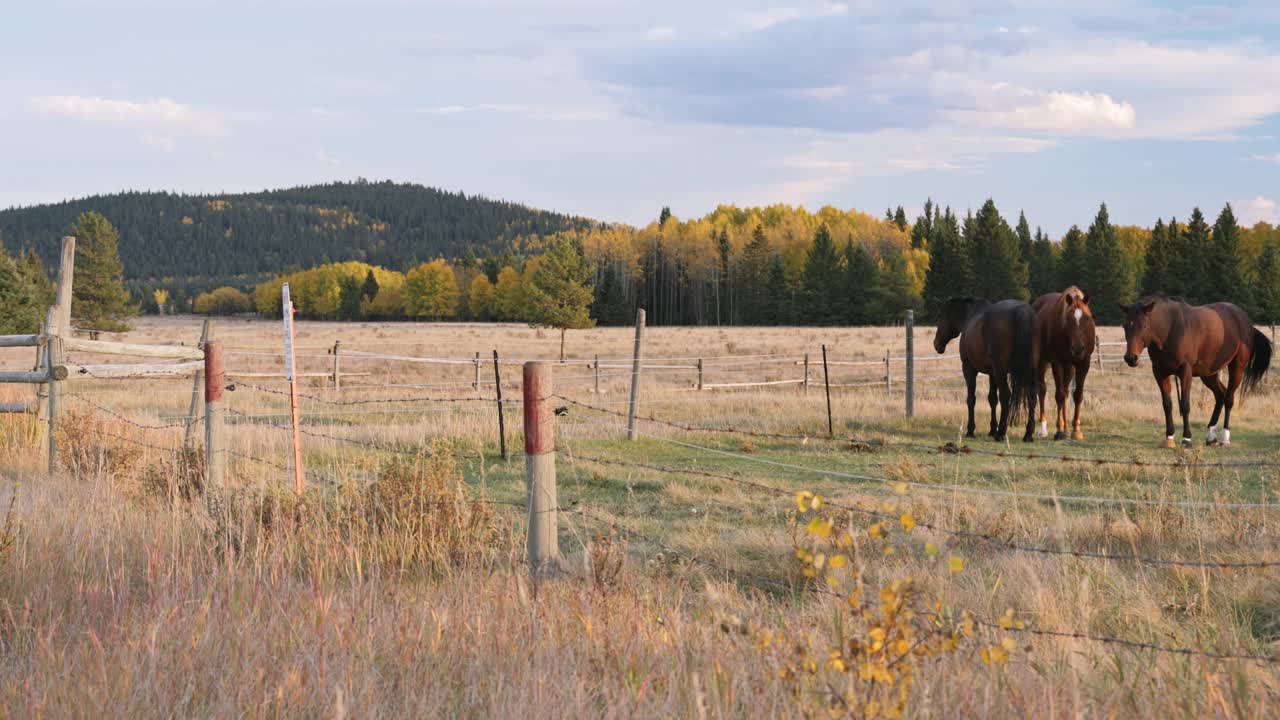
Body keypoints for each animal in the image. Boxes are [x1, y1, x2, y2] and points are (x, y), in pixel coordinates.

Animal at [936, 295, 1044, 440]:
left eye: (941, 315)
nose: (936, 344)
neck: (970, 317)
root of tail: (1022, 310)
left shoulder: (969, 369)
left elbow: (971, 399)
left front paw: (971, 430)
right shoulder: (992, 373)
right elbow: (992, 399)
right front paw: (992, 429)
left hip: (1001, 371)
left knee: (1005, 395)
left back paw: (1001, 433)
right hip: (1029, 369)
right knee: (1032, 395)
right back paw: (1028, 434)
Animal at [1024, 284, 1095, 438]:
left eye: (1087, 318)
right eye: (1068, 319)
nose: (1078, 348)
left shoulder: (1083, 363)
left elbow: (1077, 395)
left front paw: (1076, 430)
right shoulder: (1057, 362)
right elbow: (1059, 395)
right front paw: (1059, 430)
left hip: (1069, 367)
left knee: (1066, 391)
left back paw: (1066, 427)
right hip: (1041, 362)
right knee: (1042, 390)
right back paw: (1043, 428)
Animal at [1121, 294, 1269, 445]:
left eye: (1144, 326)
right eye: (1125, 326)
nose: (1130, 358)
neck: (1171, 329)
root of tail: (1248, 323)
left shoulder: (1185, 372)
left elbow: (1185, 405)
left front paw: (1187, 438)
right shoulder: (1160, 372)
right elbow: (1167, 404)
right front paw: (1170, 437)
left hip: (1236, 368)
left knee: (1228, 398)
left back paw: (1225, 437)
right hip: (1209, 374)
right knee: (1220, 395)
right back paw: (1211, 436)